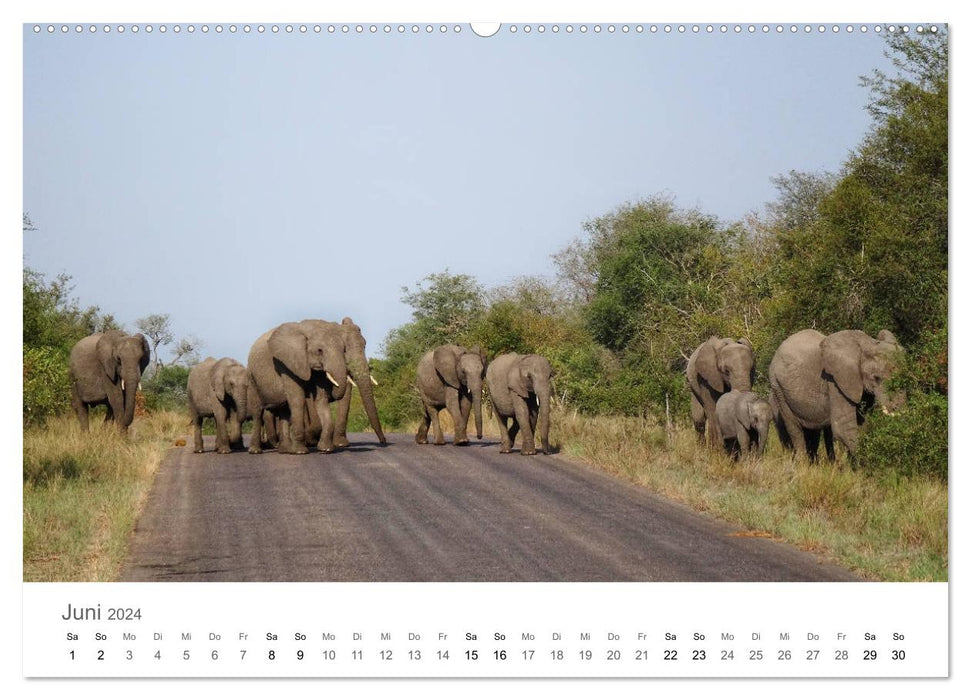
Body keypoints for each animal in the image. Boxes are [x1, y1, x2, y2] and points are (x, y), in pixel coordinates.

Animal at [245, 318, 386, 454]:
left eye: (342, 349)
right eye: (319, 350)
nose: (383, 442)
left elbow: (321, 399)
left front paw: (325, 449)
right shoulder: (286, 364)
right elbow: (298, 399)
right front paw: (301, 451)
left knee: (284, 411)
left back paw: (285, 450)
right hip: (252, 379)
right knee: (258, 413)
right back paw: (257, 451)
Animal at [772, 328, 908, 460]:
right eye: (876, 378)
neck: (867, 345)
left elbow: (863, 424)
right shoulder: (835, 381)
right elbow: (843, 427)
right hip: (778, 388)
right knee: (795, 428)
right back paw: (802, 463)